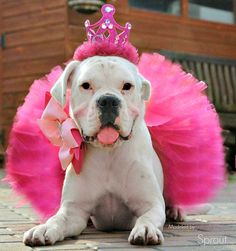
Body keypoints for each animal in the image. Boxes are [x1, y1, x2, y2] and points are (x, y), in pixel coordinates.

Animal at [22, 56, 166, 246]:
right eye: (86, 85)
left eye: (127, 86)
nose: (109, 100)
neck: (108, 153)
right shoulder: (73, 210)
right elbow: (57, 219)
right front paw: (45, 228)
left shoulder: (151, 204)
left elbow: (147, 216)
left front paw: (146, 228)